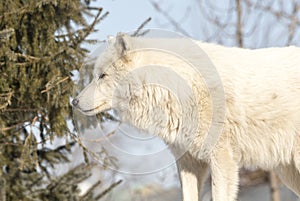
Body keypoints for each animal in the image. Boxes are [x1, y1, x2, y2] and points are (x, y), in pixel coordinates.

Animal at [72, 33, 300, 201]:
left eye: (102, 76)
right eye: (96, 75)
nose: (74, 102)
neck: (176, 88)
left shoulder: (222, 158)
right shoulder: (189, 162)